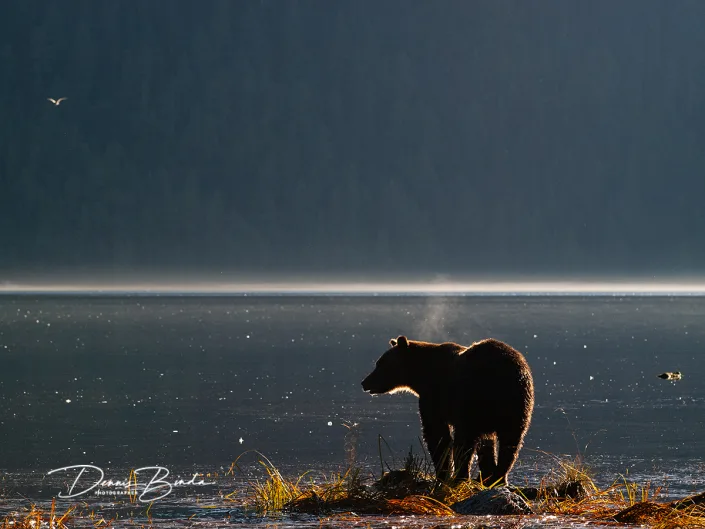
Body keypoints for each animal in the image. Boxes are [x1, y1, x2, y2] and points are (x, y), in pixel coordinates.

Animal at [361, 335, 534, 485]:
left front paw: (442, 474)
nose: (364, 382)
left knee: (464, 441)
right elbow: (487, 442)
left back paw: (462, 476)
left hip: (472, 398)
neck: (420, 377)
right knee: (511, 442)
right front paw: (487, 473)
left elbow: (437, 436)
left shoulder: (433, 398)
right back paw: (498, 477)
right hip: (517, 405)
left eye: (380, 364)